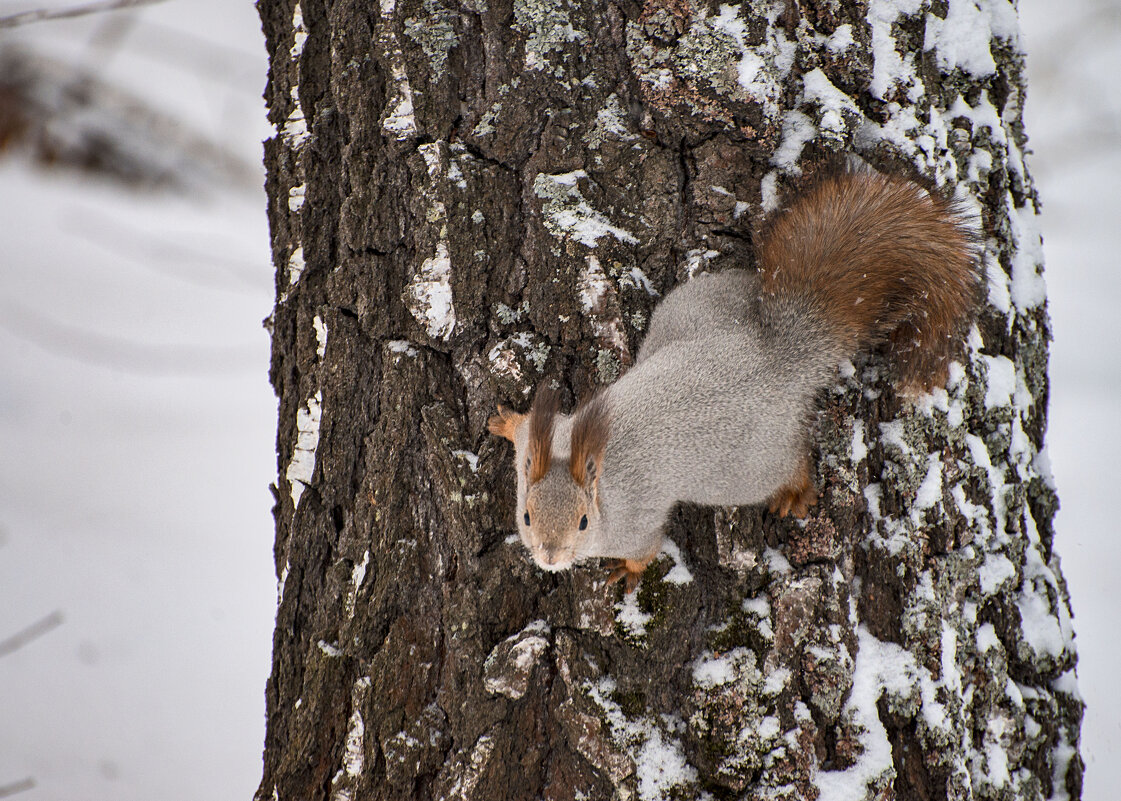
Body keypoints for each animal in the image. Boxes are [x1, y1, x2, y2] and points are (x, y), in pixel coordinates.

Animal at [486, 169, 977, 591]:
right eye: (526, 516)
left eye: (584, 523)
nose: (550, 557)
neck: (588, 468)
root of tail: (777, 358)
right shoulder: (545, 436)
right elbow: (525, 428)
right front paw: (506, 421)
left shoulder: (634, 523)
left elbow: (645, 550)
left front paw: (628, 571)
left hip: (748, 468)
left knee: (792, 463)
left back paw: (796, 491)